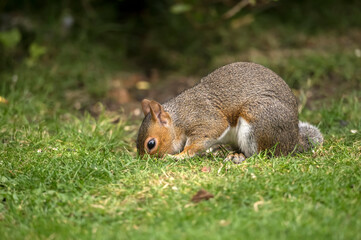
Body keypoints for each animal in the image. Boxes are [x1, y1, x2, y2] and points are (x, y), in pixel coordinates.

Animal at [136, 62, 324, 163]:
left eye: (151, 144)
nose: (144, 162)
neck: (179, 118)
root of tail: (293, 142)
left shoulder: (204, 118)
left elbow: (203, 138)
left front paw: (179, 156)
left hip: (258, 122)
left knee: (264, 154)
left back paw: (240, 158)